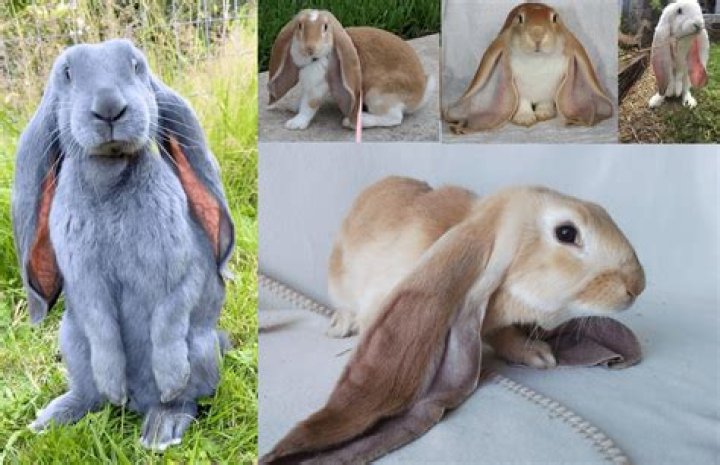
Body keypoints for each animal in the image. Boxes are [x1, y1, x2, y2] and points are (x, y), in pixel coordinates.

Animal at [11, 39, 234, 451]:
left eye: (136, 66)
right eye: (67, 74)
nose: (109, 107)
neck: (110, 179)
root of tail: (138, 404)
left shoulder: (178, 273)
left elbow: (169, 318)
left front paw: (170, 378)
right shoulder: (85, 282)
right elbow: (101, 325)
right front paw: (113, 384)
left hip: (200, 349)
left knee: (186, 398)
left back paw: (161, 427)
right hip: (72, 343)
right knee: (89, 395)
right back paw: (54, 417)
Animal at [268, 9, 435, 130]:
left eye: (325, 27)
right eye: (300, 26)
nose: (310, 48)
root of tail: (420, 95)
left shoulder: (317, 87)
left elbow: (309, 105)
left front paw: (295, 123)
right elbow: (302, 99)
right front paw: (292, 107)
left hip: (377, 93)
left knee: (394, 118)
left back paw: (354, 121)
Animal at [444, 2, 613, 134]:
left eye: (554, 18)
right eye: (520, 18)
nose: (537, 33)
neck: (537, 60)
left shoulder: (549, 88)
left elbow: (545, 101)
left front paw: (544, 114)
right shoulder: (520, 90)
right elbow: (523, 103)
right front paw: (524, 119)